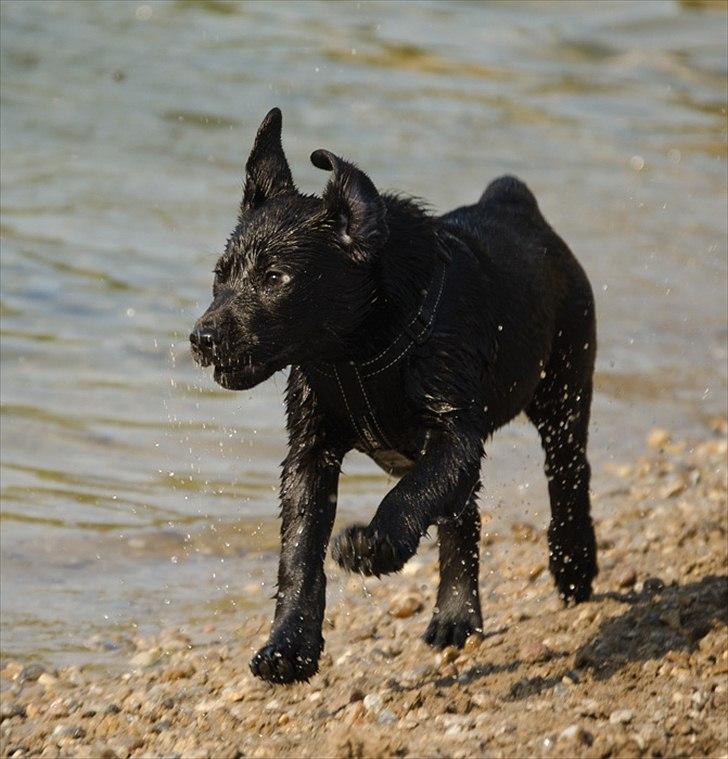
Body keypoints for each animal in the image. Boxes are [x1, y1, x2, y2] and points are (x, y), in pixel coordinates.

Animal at [192, 110, 596, 684]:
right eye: (220, 275)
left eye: (276, 277)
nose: (201, 337)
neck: (357, 351)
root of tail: (514, 202)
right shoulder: (310, 454)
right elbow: (299, 553)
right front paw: (288, 647)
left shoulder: (454, 433)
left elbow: (412, 494)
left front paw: (372, 548)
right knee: (462, 513)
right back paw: (456, 616)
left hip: (564, 381)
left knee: (567, 470)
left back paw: (573, 563)